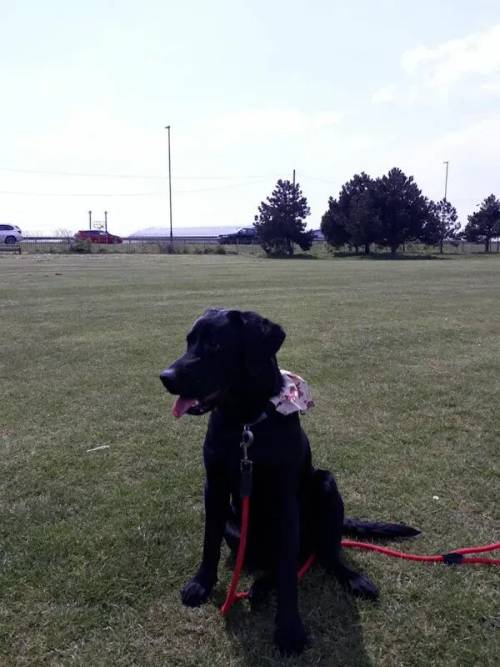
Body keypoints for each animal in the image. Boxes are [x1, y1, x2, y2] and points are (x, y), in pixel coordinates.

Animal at [160, 312, 418, 656]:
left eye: (215, 345)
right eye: (189, 341)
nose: (165, 377)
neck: (245, 423)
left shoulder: (284, 499)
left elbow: (287, 575)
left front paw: (289, 630)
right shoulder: (213, 486)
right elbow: (209, 540)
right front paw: (201, 583)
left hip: (326, 485)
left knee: (324, 553)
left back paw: (351, 578)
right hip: (237, 527)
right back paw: (258, 588)